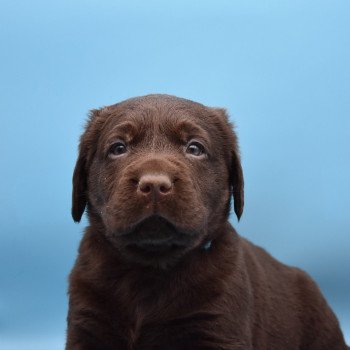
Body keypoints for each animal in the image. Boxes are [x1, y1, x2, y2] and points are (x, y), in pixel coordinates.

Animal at [65, 94, 348, 348]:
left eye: (194, 148)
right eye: (118, 148)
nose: (155, 183)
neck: (150, 268)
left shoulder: (217, 327)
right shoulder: (86, 323)